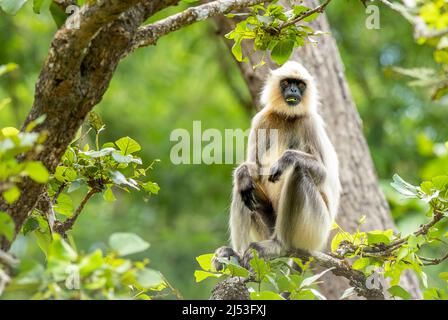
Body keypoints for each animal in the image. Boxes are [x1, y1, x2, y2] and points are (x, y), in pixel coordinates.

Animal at [214, 61, 340, 268]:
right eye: (287, 82)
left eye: (300, 84)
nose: (293, 90)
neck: (288, 116)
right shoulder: (261, 119)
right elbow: (253, 168)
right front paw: (244, 171)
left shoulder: (310, 122)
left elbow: (323, 173)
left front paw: (285, 159)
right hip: (269, 225)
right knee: (243, 189)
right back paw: (238, 256)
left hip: (317, 228)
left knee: (298, 172)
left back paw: (279, 245)